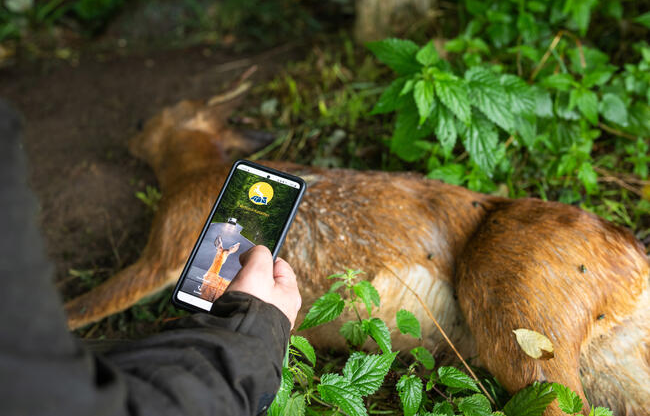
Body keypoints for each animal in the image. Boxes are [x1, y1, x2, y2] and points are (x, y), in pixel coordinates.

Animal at [64, 96, 648, 412]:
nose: (130, 130)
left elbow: (82, 307)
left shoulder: (165, 248)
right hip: (610, 375)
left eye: (148, 122)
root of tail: (632, 252)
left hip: (520, 335)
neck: (203, 171)